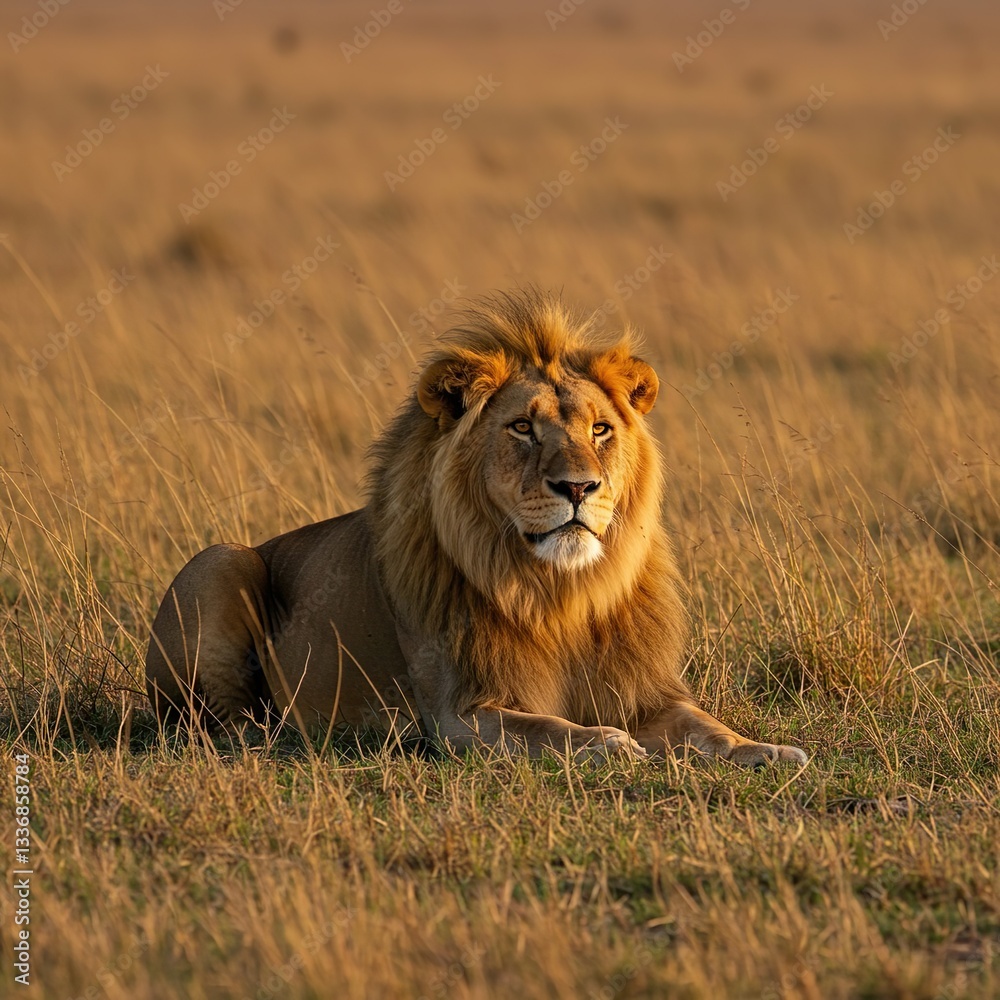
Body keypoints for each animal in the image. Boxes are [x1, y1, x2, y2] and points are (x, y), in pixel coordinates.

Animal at [145, 290, 807, 765]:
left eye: (600, 429)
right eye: (522, 428)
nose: (579, 488)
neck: (562, 594)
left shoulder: (645, 693)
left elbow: (707, 728)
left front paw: (769, 750)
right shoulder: (458, 714)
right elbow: (546, 727)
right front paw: (606, 742)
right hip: (220, 560)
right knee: (220, 722)